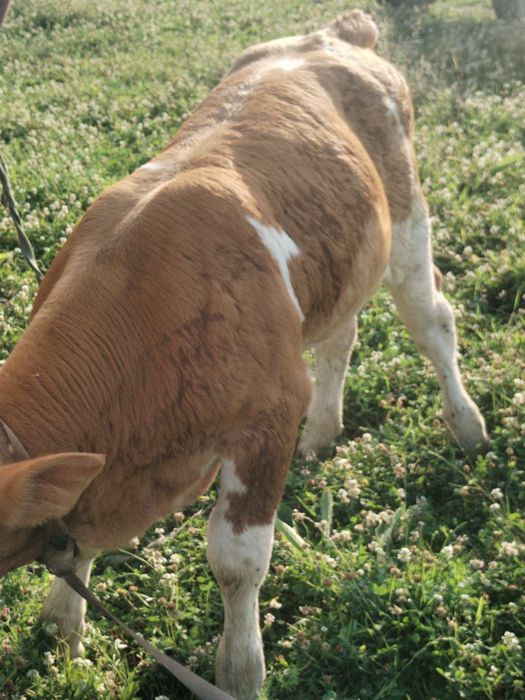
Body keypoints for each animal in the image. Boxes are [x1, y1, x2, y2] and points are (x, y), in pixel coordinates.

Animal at [0, 10, 488, 700]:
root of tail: (332, 35)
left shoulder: (268, 417)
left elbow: (236, 564)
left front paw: (239, 671)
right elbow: (76, 547)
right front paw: (62, 630)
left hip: (407, 224)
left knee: (433, 324)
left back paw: (467, 426)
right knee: (340, 337)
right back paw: (325, 430)